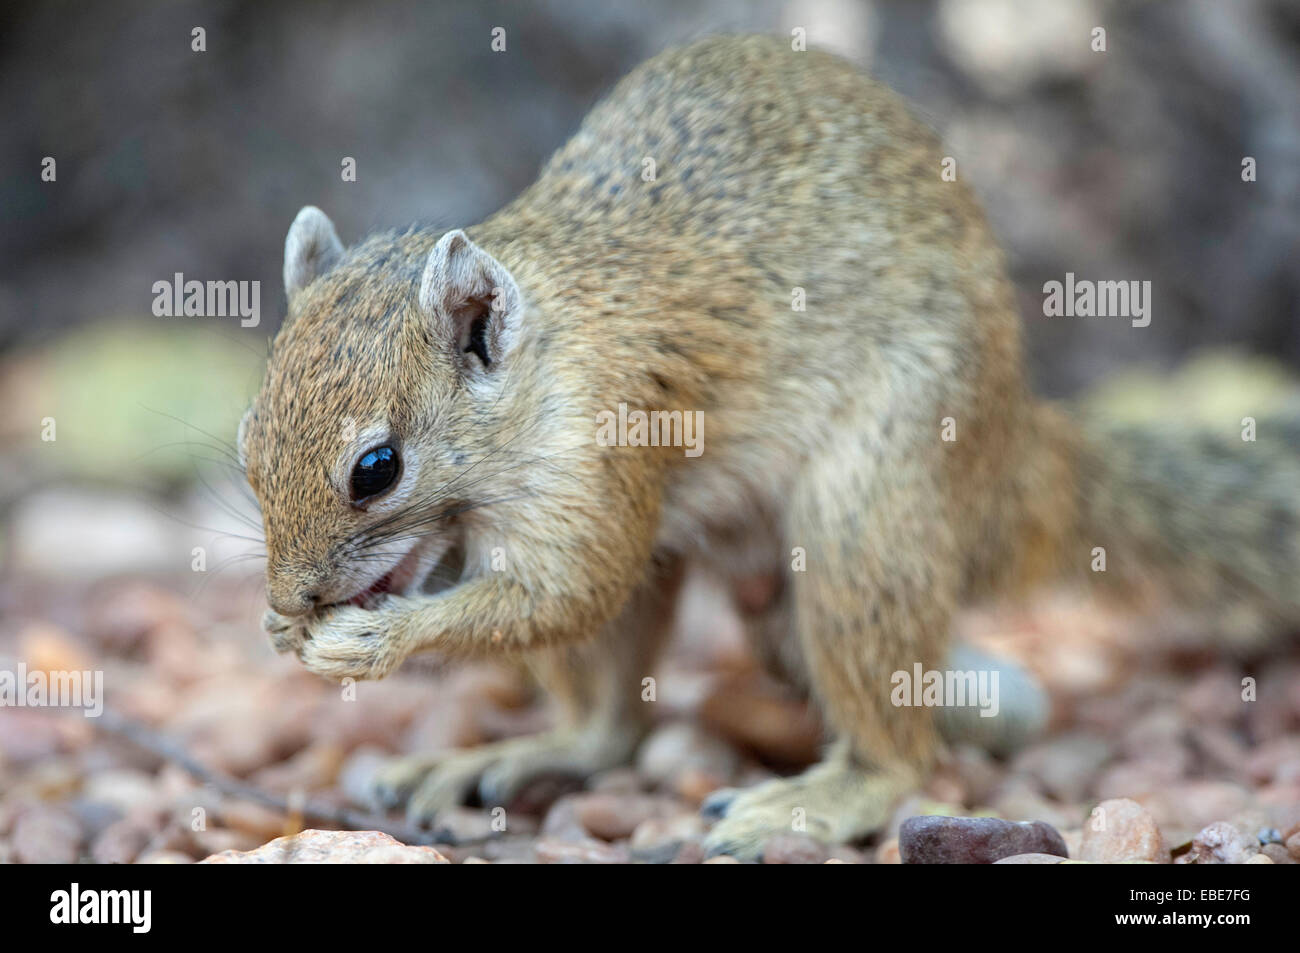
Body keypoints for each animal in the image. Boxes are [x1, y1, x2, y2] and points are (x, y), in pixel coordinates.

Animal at [244, 37, 1300, 858]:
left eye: (377, 469)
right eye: (250, 439)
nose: (290, 599)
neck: (548, 353)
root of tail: (1011, 461)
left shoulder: (604, 448)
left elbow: (568, 591)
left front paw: (374, 639)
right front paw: (289, 631)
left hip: (865, 513)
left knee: (897, 754)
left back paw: (820, 797)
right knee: (609, 729)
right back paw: (513, 754)